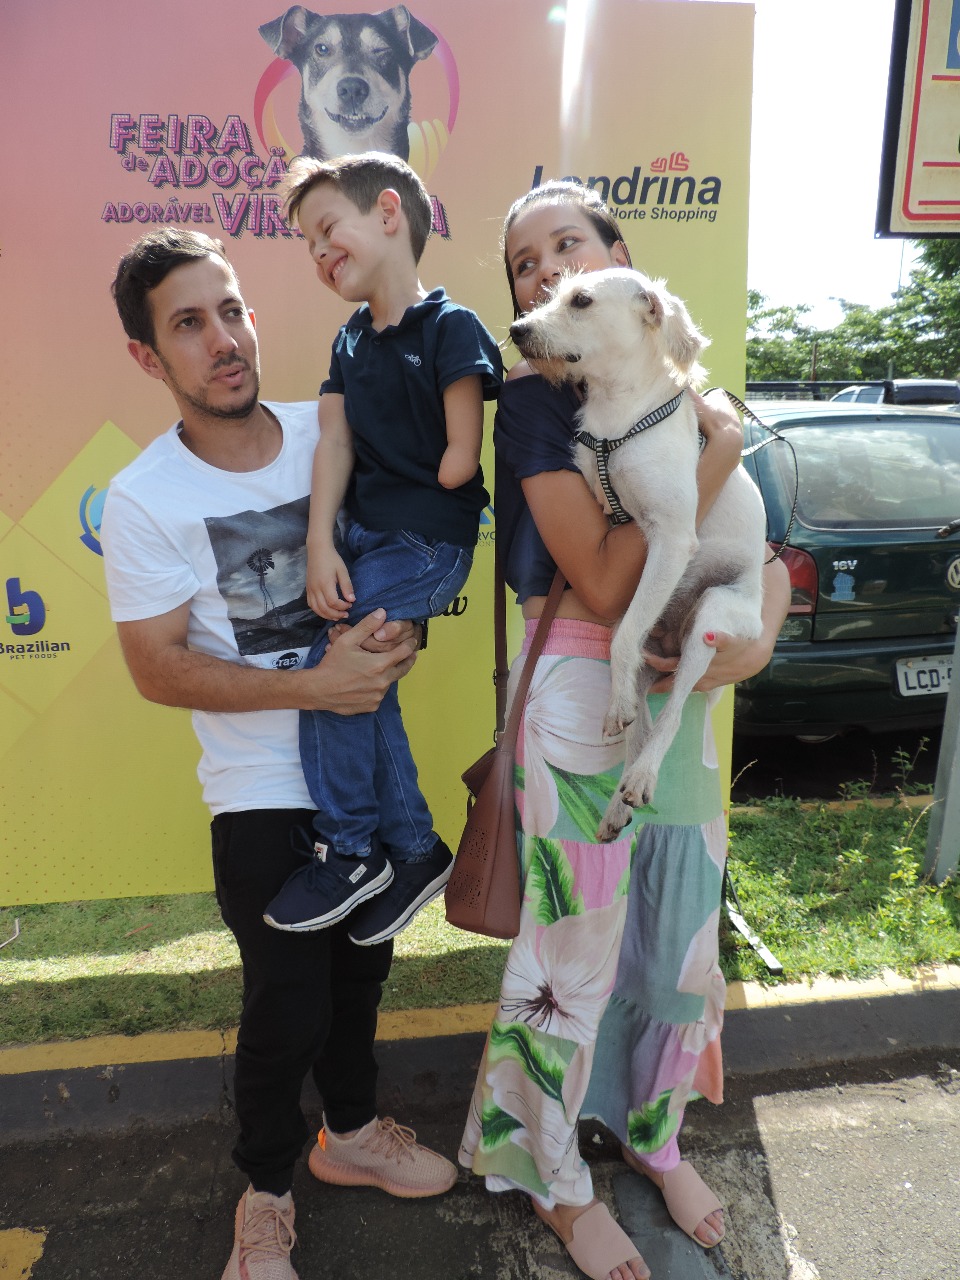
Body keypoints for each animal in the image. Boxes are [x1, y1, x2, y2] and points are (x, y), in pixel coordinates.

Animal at [514, 270, 773, 844]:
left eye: (581, 300)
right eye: (549, 294)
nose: (517, 330)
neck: (617, 416)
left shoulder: (672, 537)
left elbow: (625, 645)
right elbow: (622, 644)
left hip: (714, 617)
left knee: (670, 714)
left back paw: (641, 777)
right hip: (656, 643)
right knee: (643, 711)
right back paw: (619, 799)